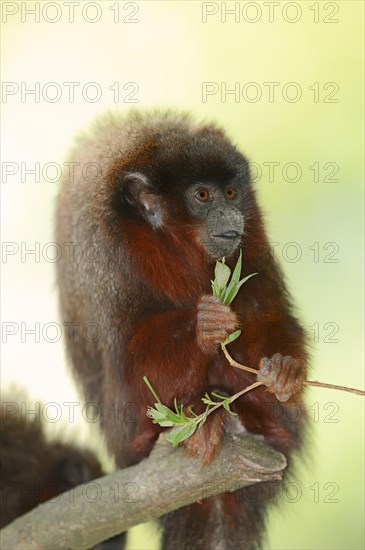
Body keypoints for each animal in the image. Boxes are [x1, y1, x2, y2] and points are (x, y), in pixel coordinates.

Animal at [56, 110, 308, 548]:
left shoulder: (252, 232)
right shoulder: (107, 255)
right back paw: (196, 421)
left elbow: (265, 310)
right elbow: (132, 368)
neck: (166, 241)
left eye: (230, 193)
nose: (230, 215)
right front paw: (201, 327)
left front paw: (282, 370)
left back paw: (260, 420)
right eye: (203, 196)